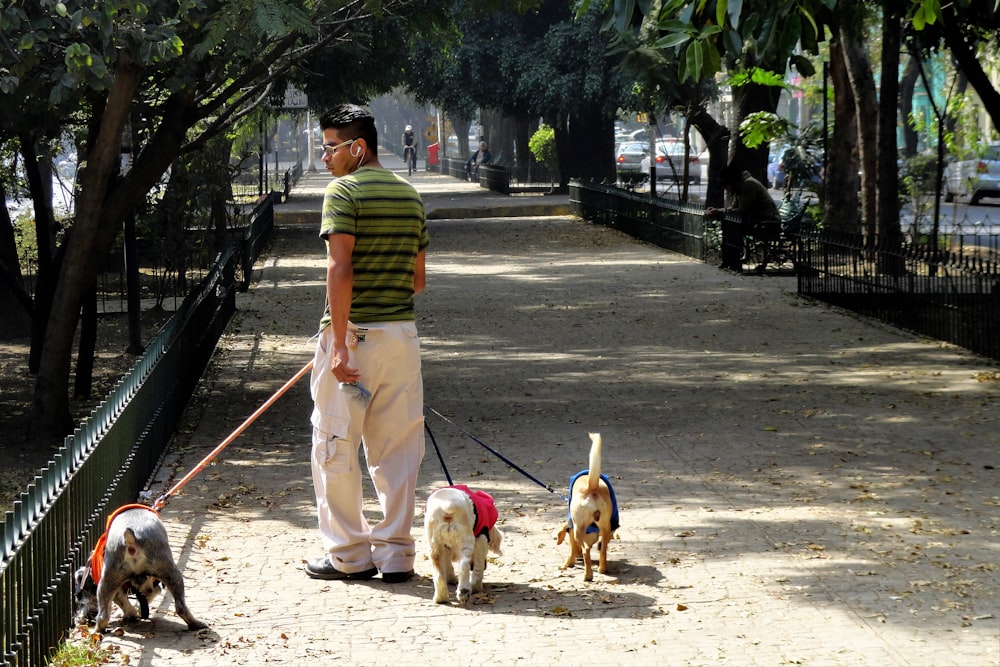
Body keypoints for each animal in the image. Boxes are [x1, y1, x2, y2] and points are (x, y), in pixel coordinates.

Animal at [556, 436, 616, 580]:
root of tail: (592, 486)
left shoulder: (572, 532)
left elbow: (571, 551)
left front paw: (567, 564)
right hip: (605, 527)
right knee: (603, 550)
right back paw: (602, 569)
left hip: (578, 530)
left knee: (586, 550)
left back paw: (588, 575)